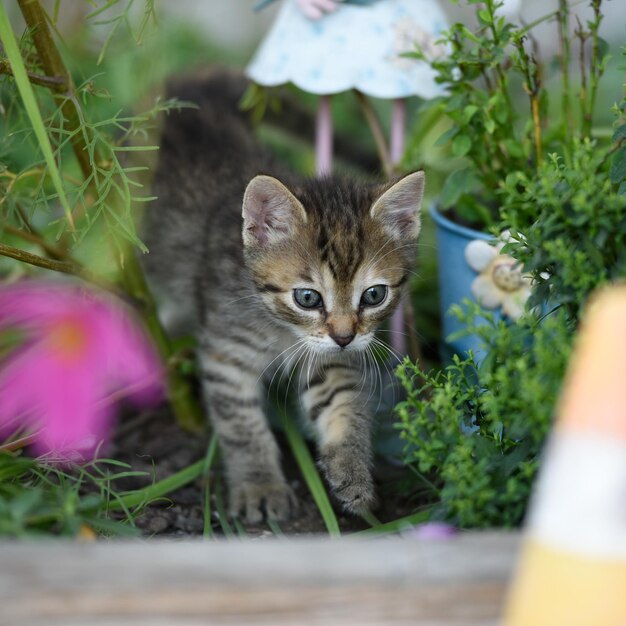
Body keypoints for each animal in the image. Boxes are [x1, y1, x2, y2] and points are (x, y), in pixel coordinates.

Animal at [144, 73, 422, 520]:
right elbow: (241, 424)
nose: (345, 336)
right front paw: (259, 485)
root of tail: (195, 84)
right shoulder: (226, 354)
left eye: (374, 295)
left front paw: (351, 469)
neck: (281, 330)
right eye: (308, 298)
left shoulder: (326, 357)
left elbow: (343, 401)